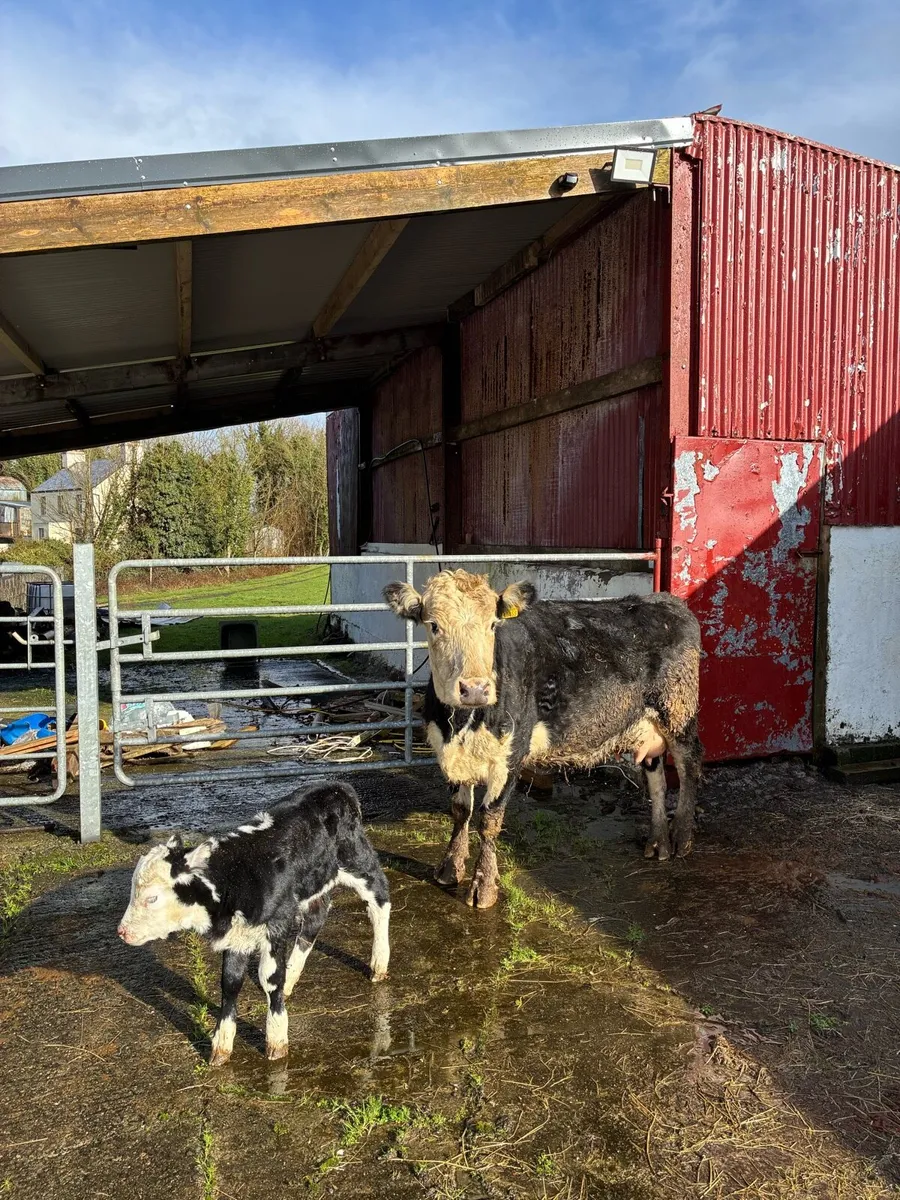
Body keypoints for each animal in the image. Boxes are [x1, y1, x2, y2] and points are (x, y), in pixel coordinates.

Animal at [117, 780, 390, 1066]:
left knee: (380, 900)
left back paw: (378, 963)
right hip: (314, 884)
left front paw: (277, 1038)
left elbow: (269, 977)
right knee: (315, 920)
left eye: (152, 898)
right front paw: (221, 1045)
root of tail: (336, 786)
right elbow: (229, 982)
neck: (236, 876)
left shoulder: (276, 923)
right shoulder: (237, 935)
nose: (122, 932)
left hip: (357, 862)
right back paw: (292, 979)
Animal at [384, 570, 702, 909]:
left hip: (678, 711)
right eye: (434, 625)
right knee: (656, 777)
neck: (459, 725)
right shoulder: (451, 753)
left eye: (492, 624)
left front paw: (483, 888)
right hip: (646, 724)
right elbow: (460, 811)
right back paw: (658, 842)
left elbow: (489, 819)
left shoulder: (511, 753)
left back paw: (682, 837)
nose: (475, 689)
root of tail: (664, 600)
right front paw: (449, 868)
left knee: (689, 766)